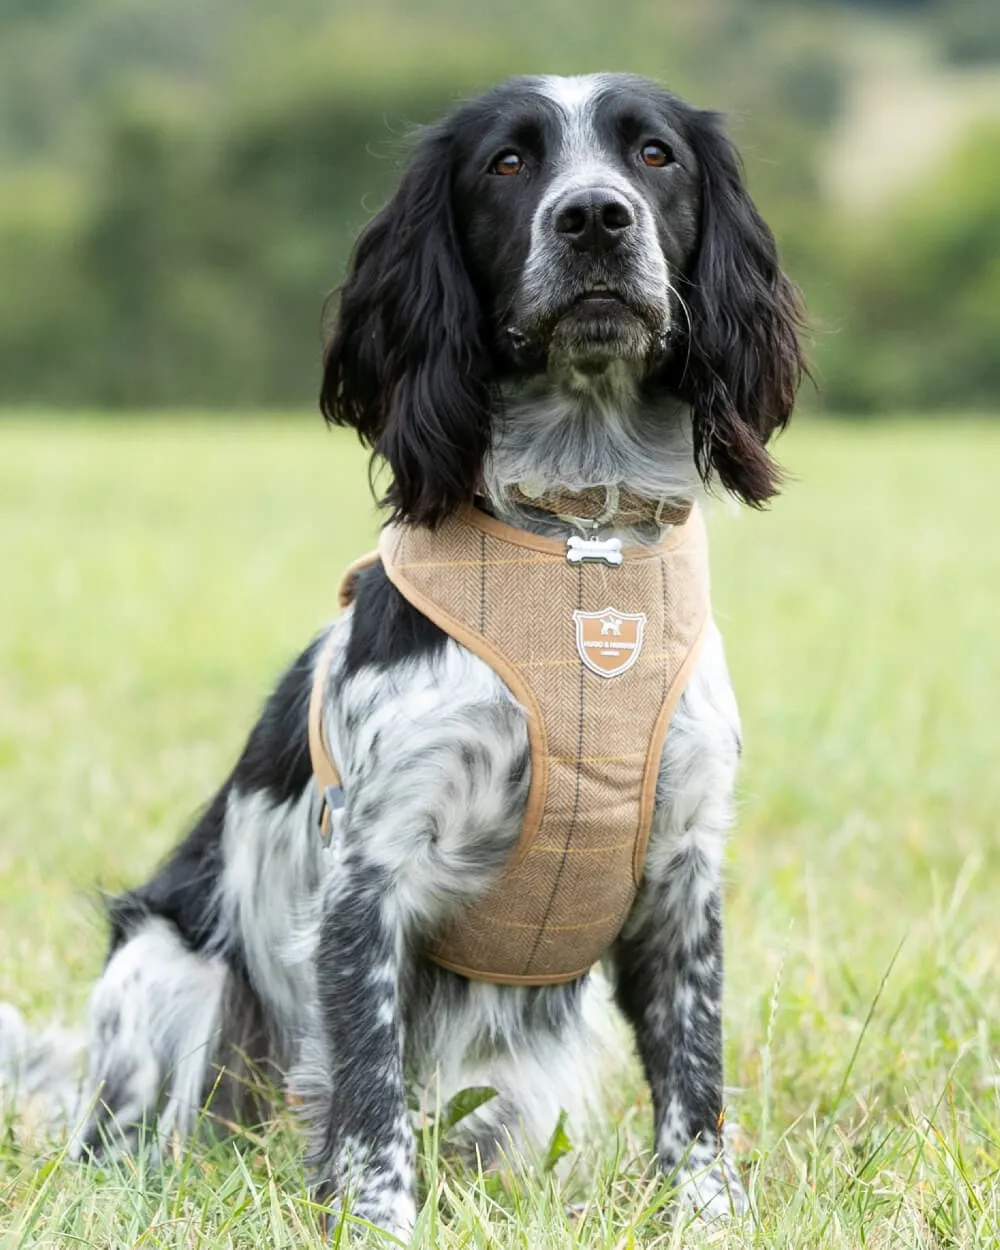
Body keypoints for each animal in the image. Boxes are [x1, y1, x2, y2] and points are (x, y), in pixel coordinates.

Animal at [0, 73, 805, 1235]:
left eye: (654, 155)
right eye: (506, 164)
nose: (594, 218)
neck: (582, 550)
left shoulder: (682, 870)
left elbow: (693, 1085)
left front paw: (707, 1217)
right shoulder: (368, 876)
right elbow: (369, 1090)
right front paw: (377, 1219)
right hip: (169, 977)